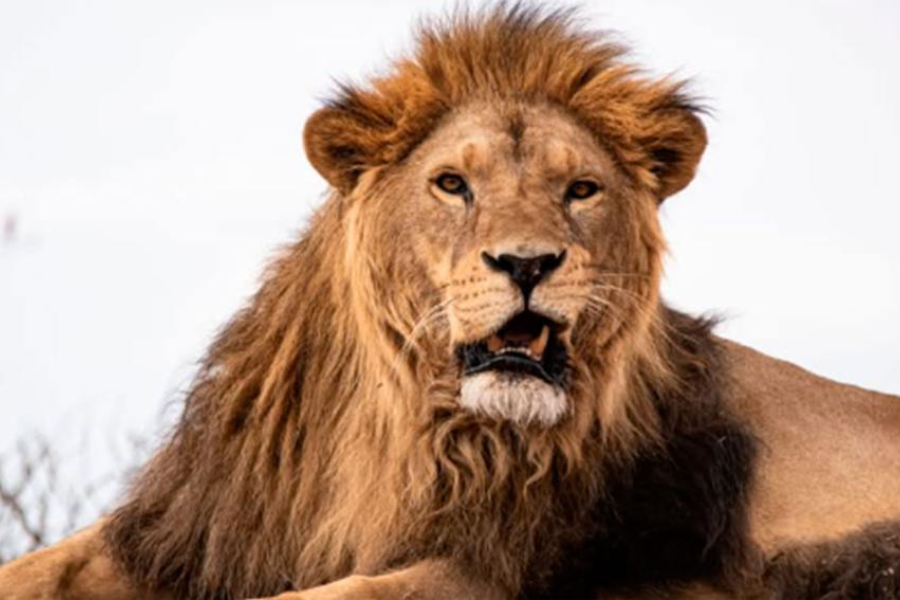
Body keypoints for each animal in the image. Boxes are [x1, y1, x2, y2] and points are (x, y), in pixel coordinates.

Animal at [1, 5, 899, 600]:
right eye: (452, 184)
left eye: (581, 190)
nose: (528, 262)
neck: (409, 430)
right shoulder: (206, 523)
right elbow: (46, 563)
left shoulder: (525, 557)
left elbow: (344, 593)